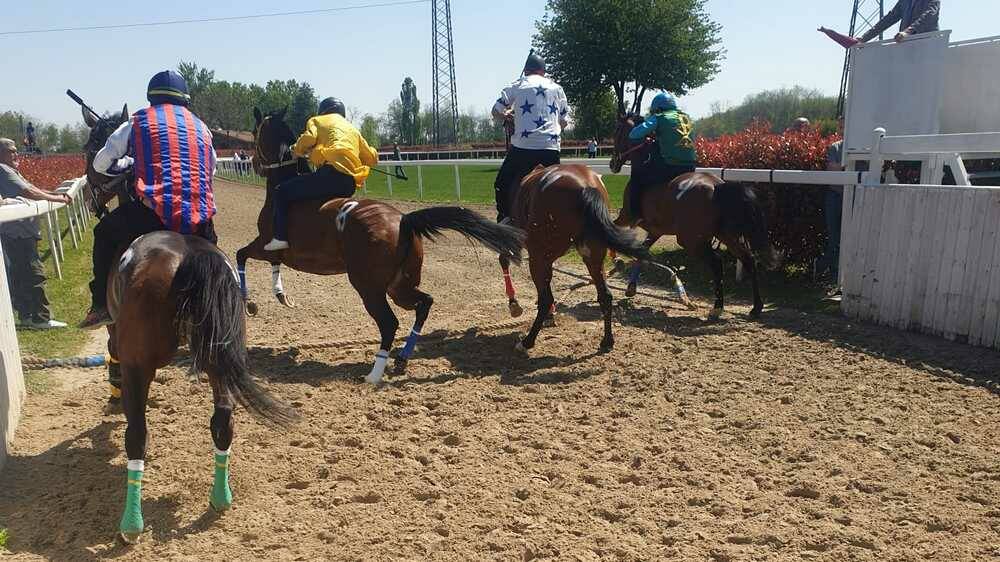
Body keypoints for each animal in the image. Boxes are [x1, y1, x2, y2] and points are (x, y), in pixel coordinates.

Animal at [238, 107, 528, 382]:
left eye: (254, 132)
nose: (251, 162)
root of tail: (404, 220)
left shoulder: (267, 244)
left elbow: (241, 255)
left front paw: (248, 302)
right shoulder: (276, 253)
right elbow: (267, 264)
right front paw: (280, 295)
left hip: (369, 287)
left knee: (389, 323)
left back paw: (374, 374)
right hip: (399, 285)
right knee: (424, 303)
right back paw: (402, 358)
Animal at [498, 164, 648, 352]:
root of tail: (585, 187)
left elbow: (503, 259)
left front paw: (514, 305)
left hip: (538, 258)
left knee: (546, 299)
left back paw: (528, 341)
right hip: (593, 258)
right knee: (605, 296)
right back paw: (607, 341)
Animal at [608, 115, 780, 316]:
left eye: (617, 132)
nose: (612, 163)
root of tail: (718, 186)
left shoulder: (626, 217)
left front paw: (617, 262)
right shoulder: (656, 229)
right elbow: (641, 253)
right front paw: (631, 287)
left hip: (691, 240)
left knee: (717, 263)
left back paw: (717, 307)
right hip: (726, 235)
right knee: (749, 260)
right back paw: (756, 307)